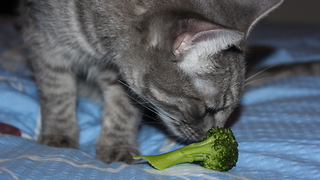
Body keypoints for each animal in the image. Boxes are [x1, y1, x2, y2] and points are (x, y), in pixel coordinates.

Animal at [20, 0, 282, 164]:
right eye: (209, 109)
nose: (209, 135)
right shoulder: (44, 43)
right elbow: (57, 95)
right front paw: (59, 135)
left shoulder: (121, 80)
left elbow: (123, 112)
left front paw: (117, 146)